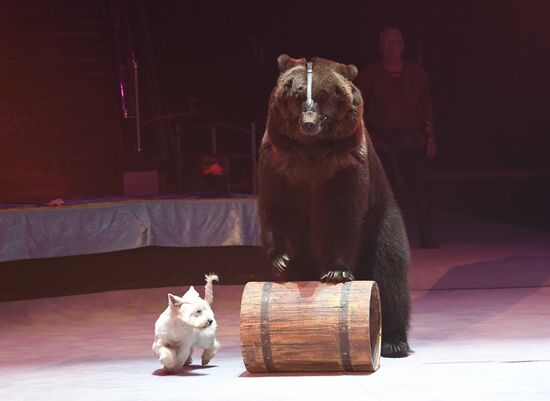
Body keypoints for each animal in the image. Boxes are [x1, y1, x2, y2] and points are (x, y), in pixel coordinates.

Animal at [260, 54, 412, 358]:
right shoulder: (279, 159)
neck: (311, 149)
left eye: (323, 94)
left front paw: (336, 271)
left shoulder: (344, 163)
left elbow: (341, 214)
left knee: (390, 270)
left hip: (382, 219)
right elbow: (276, 205)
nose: (309, 122)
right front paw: (281, 258)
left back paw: (394, 340)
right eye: (296, 93)